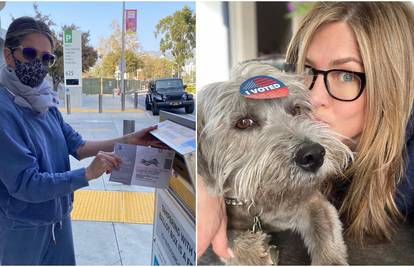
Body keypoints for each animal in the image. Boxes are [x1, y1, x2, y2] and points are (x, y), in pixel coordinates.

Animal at [197, 62, 352, 266]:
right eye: (244, 122)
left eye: (296, 110)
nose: (314, 154)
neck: (254, 202)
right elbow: (228, 239)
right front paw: (252, 250)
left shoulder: (311, 202)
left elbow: (324, 228)